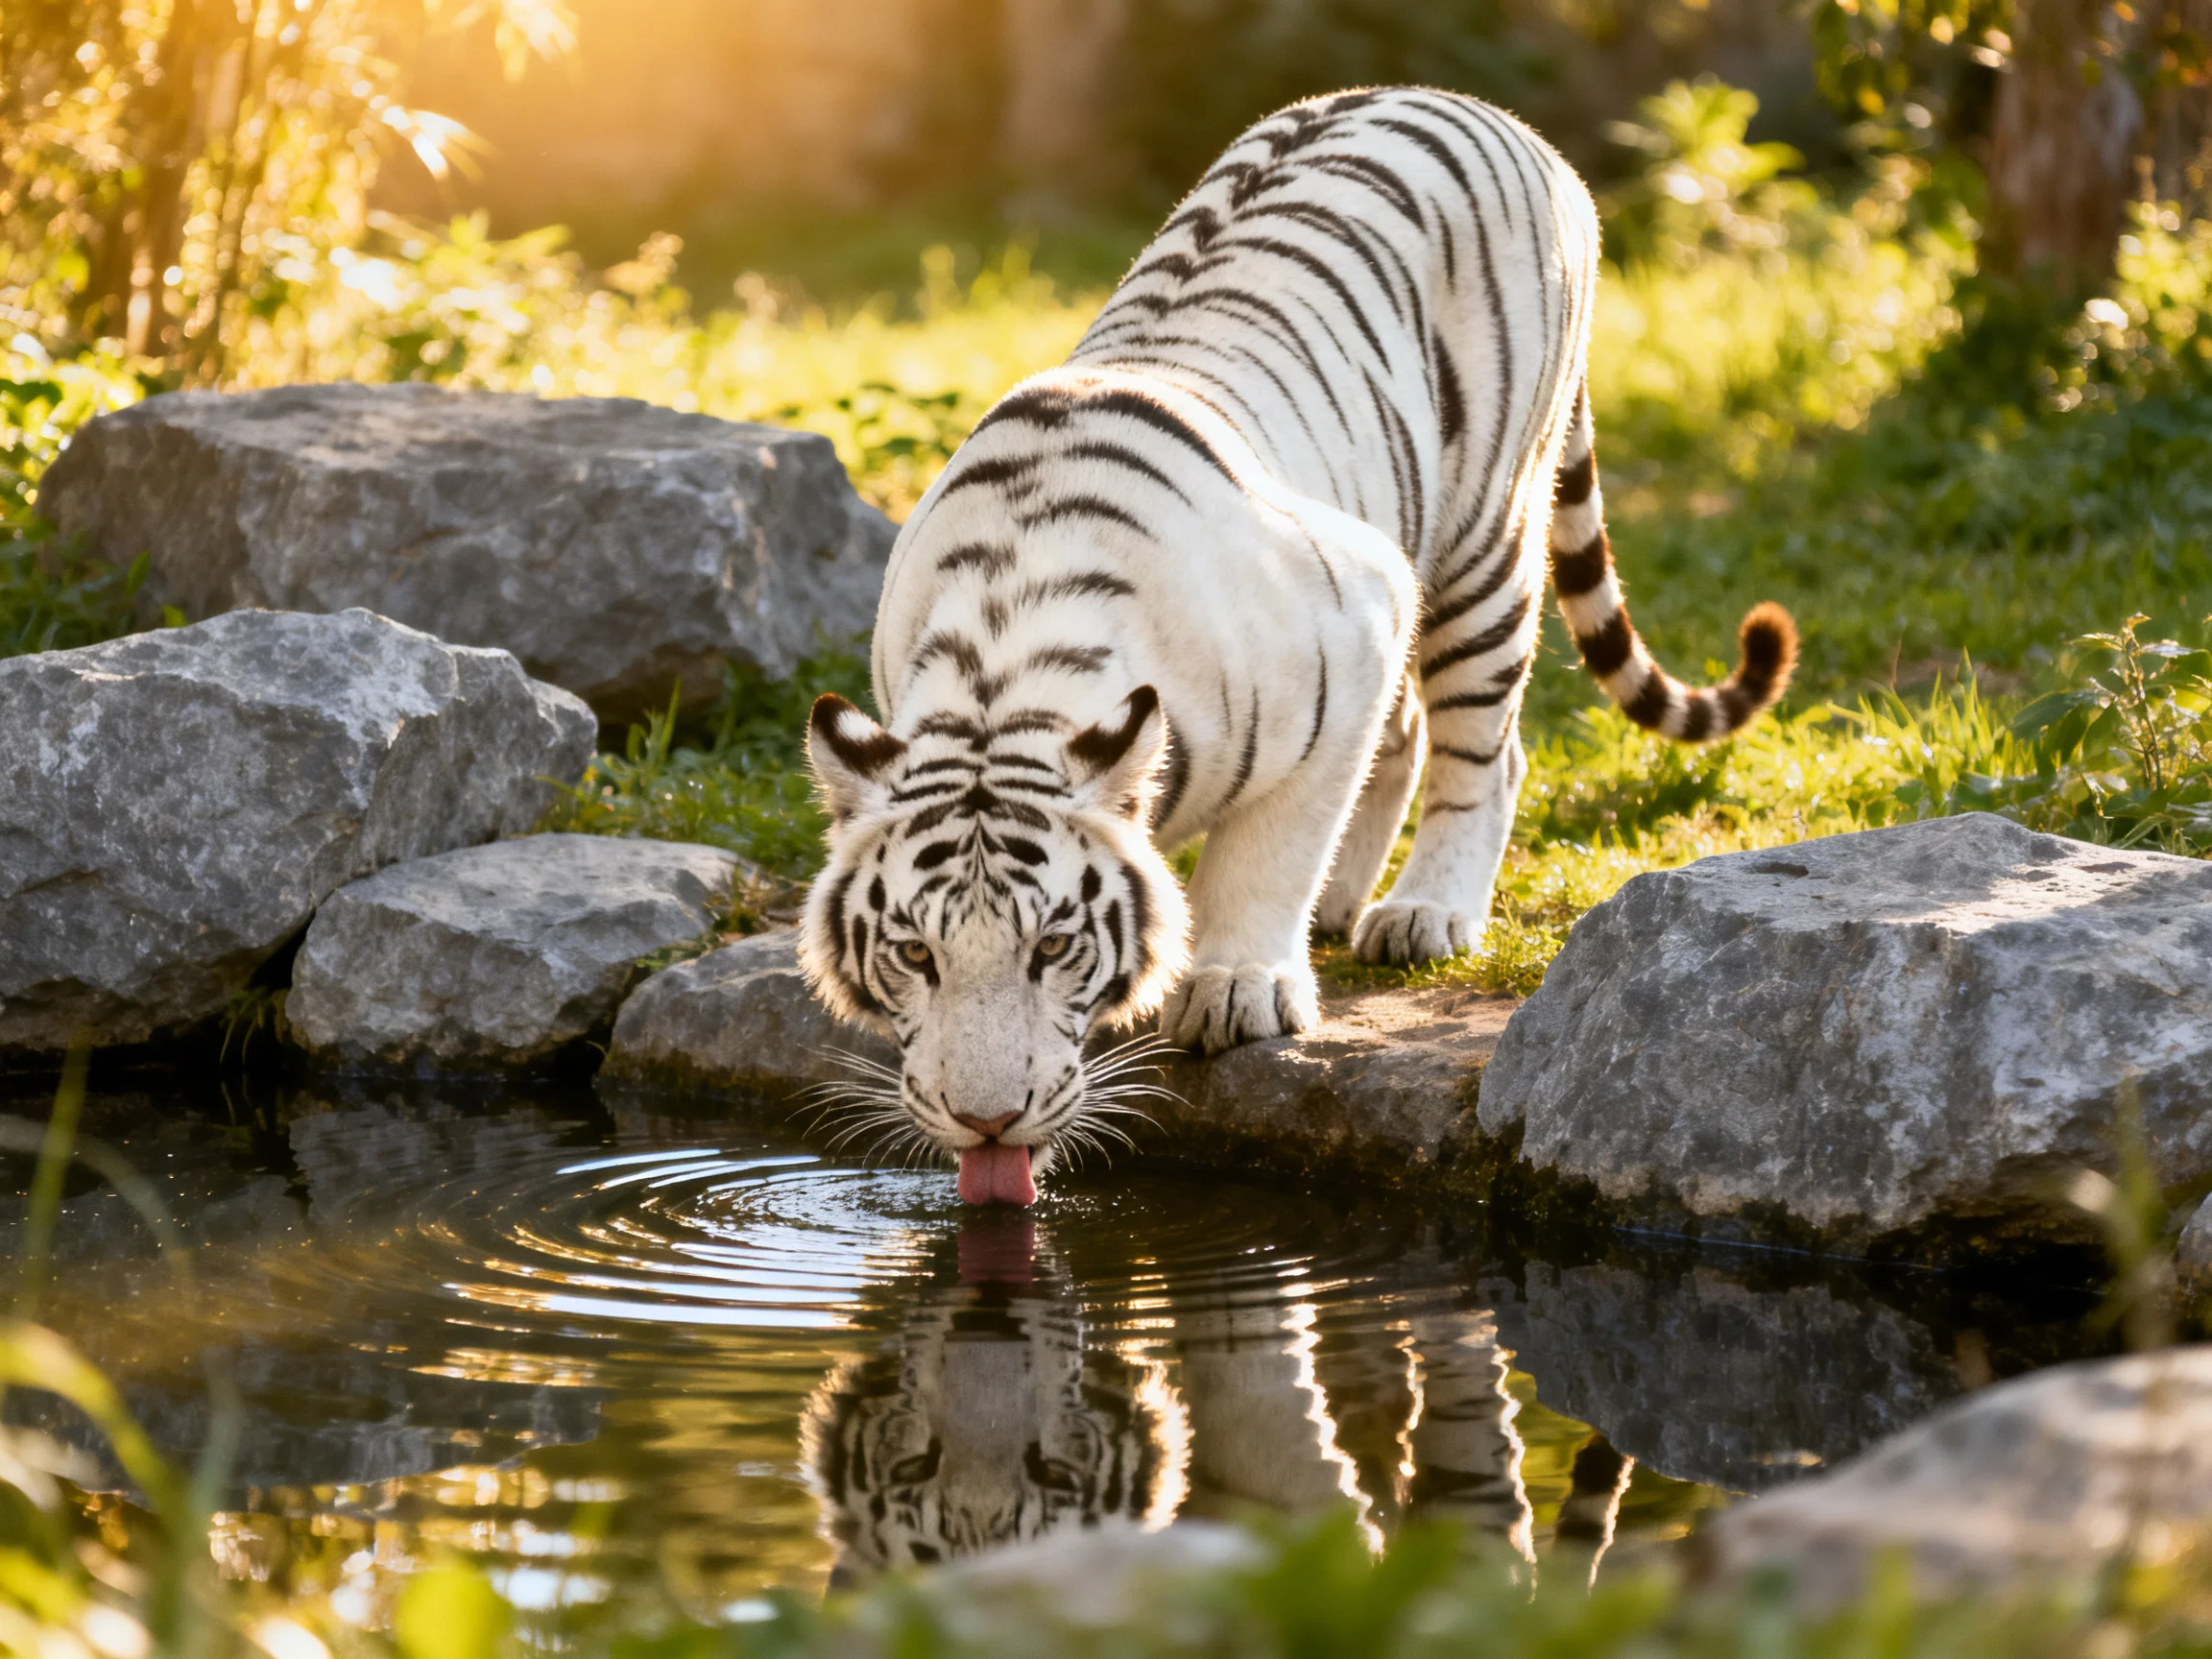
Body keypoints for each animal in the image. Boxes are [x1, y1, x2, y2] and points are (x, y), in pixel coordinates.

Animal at [802, 86, 1795, 1202]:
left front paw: (1237, 983)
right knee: (1405, 735)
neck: (1001, 673)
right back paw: (1345, 904)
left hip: (1483, 541)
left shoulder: (1356, 618)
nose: (986, 1120)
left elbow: (1270, 848)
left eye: (1053, 945)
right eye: (915, 956)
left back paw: (1423, 911)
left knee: (1482, 750)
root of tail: (1475, 107)